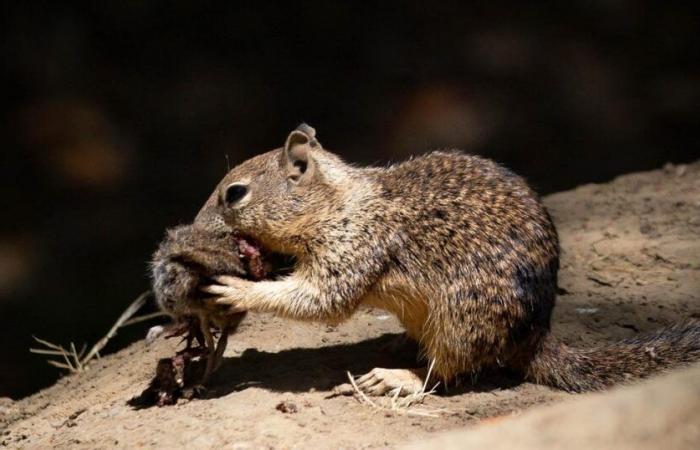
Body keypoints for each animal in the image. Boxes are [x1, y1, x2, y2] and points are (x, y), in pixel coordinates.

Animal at [156, 122, 696, 394]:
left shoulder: (355, 246)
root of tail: (535, 336)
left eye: (235, 193)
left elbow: (321, 299)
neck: (338, 203)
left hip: (463, 319)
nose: (193, 224)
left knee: (447, 372)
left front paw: (237, 288)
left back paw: (397, 377)